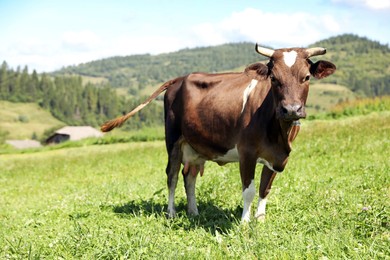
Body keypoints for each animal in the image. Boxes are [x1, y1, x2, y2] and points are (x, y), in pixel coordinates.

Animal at [102, 44, 336, 221]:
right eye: (274, 78)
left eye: (306, 77)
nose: (291, 109)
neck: (279, 134)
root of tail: (179, 78)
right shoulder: (247, 152)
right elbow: (249, 191)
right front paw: (244, 223)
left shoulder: (277, 157)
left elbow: (265, 189)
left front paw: (260, 220)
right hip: (173, 140)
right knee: (172, 176)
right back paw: (171, 213)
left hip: (196, 145)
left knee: (189, 176)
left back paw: (194, 212)